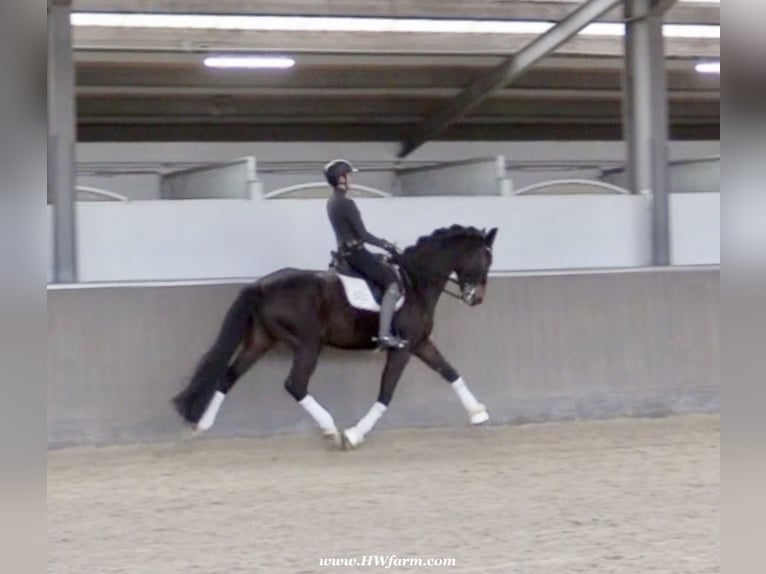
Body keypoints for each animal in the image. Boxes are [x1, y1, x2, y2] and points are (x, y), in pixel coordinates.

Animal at [172, 225, 500, 450]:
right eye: (486, 258)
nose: (477, 298)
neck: (415, 283)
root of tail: (261, 285)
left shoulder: (420, 344)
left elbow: (450, 372)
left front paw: (478, 413)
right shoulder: (402, 348)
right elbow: (386, 393)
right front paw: (354, 435)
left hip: (261, 341)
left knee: (229, 376)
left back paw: (201, 425)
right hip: (307, 344)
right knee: (295, 384)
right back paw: (330, 429)